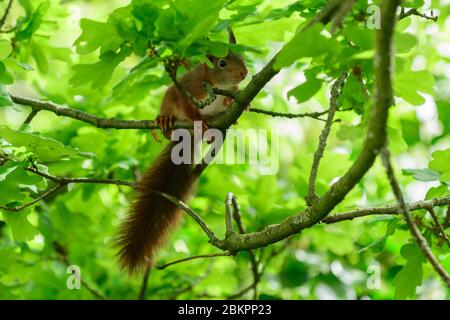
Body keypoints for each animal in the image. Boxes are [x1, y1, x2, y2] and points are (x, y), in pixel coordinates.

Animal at [114, 28, 248, 272]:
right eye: (222, 63)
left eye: (241, 56)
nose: (244, 73)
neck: (220, 88)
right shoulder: (189, 87)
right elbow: (185, 105)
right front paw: (199, 121)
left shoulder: (230, 92)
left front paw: (244, 105)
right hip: (170, 103)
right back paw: (166, 121)